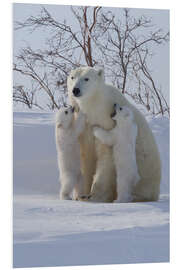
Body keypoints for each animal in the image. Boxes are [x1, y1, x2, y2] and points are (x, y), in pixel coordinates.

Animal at [67, 66, 162, 201]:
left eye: (86, 78)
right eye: (72, 77)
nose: (75, 90)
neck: (95, 107)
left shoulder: (107, 122)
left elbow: (106, 157)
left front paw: (96, 195)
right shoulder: (84, 127)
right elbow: (86, 157)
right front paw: (82, 195)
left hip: (145, 171)